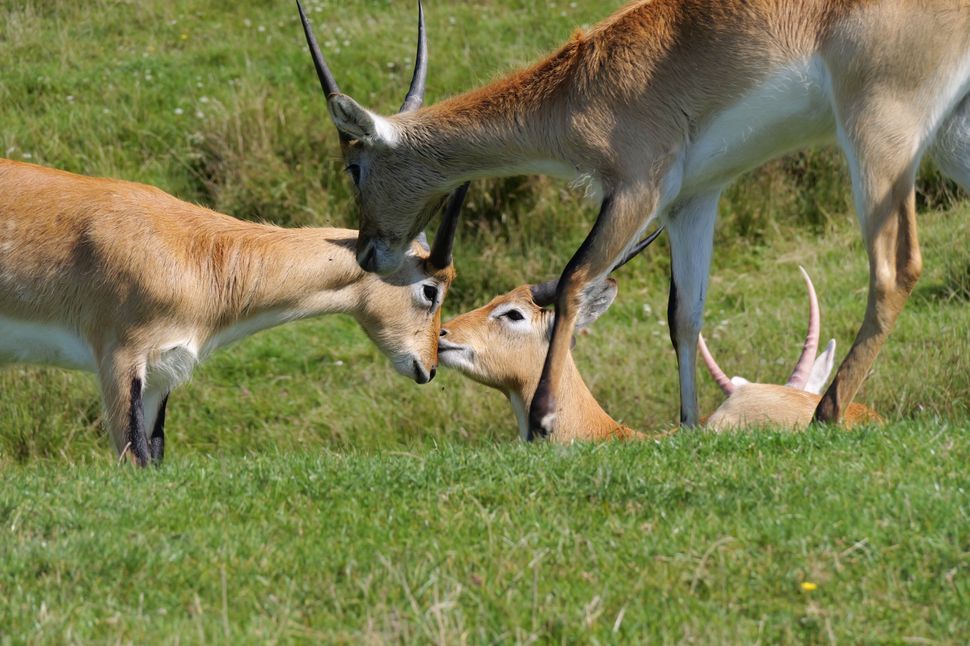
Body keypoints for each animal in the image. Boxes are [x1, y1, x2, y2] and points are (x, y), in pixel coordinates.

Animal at [0, 159, 466, 468]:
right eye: (430, 289)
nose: (428, 367)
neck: (195, 251)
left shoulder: (161, 375)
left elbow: (154, 459)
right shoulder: (118, 362)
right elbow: (135, 459)